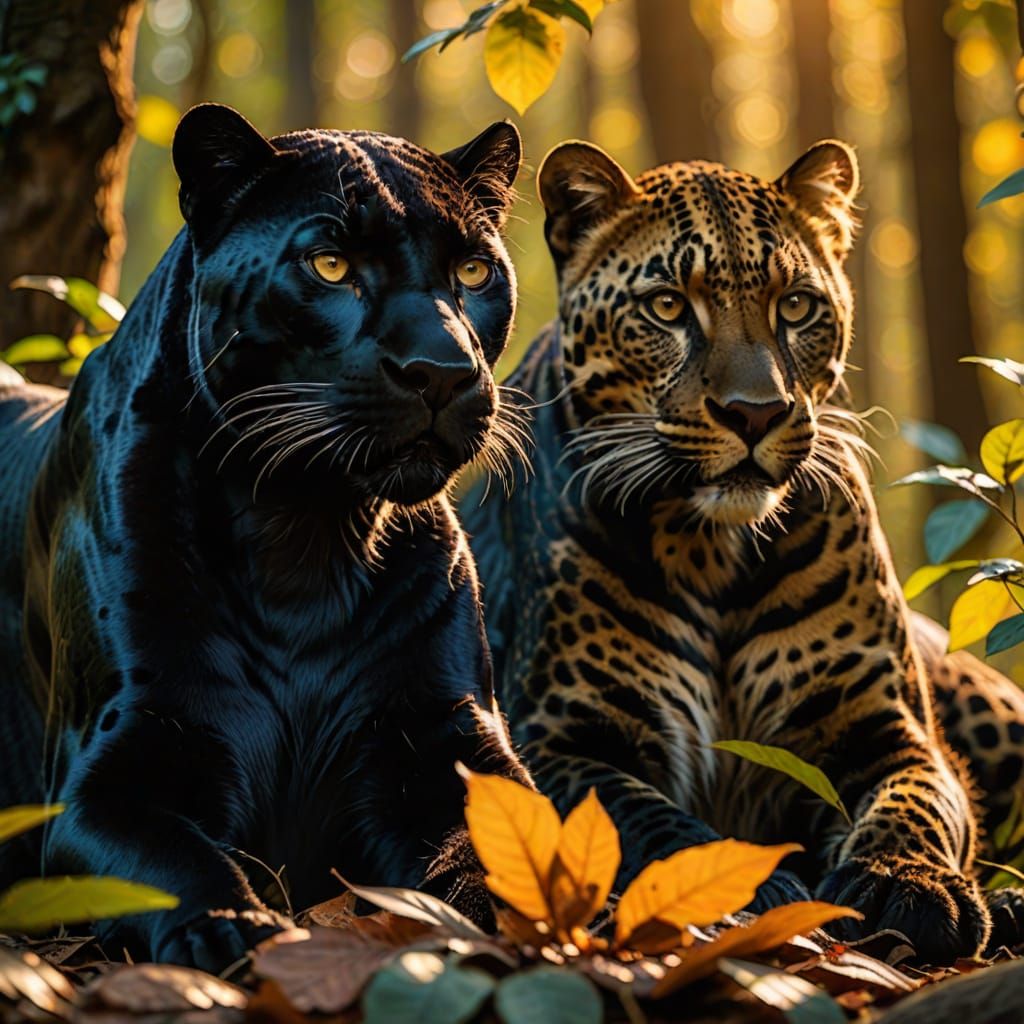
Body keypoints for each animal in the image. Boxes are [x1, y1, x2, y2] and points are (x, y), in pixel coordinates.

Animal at [0, 103, 534, 971]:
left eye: (475, 271)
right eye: (329, 265)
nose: (444, 371)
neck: (305, 533)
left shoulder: (444, 737)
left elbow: (492, 847)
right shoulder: (116, 761)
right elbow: (173, 858)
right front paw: (228, 927)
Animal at [462, 138, 1024, 963]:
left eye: (795, 306)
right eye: (668, 307)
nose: (754, 414)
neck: (713, 551)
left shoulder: (885, 725)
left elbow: (915, 800)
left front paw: (906, 884)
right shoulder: (562, 740)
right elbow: (650, 822)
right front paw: (750, 889)